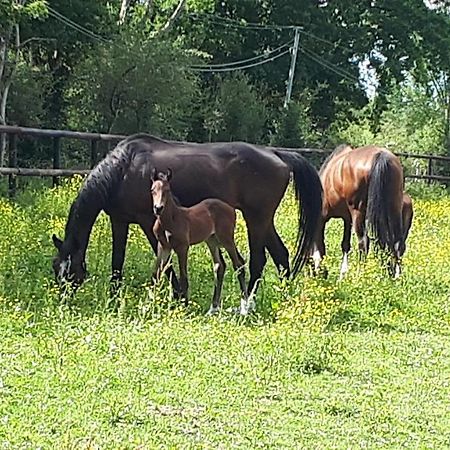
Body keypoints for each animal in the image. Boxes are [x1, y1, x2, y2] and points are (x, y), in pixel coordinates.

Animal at [151, 170, 250, 316]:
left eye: (167, 190)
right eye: (152, 190)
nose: (158, 208)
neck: (170, 220)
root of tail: (231, 208)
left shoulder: (182, 247)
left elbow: (183, 278)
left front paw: (184, 308)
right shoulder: (163, 246)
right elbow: (156, 274)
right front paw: (151, 305)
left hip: (226, 238)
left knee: (238, 264)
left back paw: (244, 307)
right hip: (212, 240)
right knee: (220, 266)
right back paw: (213, 308)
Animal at [312, 144, 414, 278]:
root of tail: (380, 156)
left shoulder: (325, 217)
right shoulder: (347, 218)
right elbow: (345, 244)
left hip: (359, 213)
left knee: (363, 243)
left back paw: (361, 274)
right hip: (394, 209)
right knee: (397, 243)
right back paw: (394, 275)